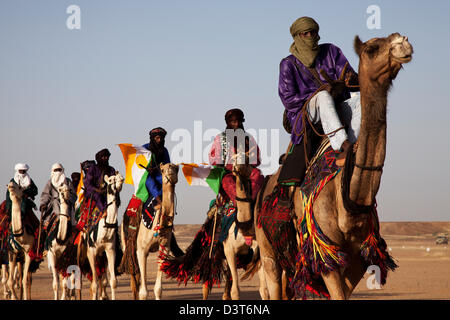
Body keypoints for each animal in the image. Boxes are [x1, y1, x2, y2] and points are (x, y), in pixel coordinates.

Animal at [85, 172, 123, 300]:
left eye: (119, 176)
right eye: (111, 179)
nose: (121, 179)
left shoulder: (110, 250)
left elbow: (113, 282)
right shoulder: (91, 252)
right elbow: (94, 284)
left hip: (102, 258)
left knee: (103, 279)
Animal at [137, 162, 179, 300]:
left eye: (176, 168)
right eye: (162, 170)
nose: (169, 170)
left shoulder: (164, 247)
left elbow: (158, 289)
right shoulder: (142, 249)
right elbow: (143, 293)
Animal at [255, 33, 414, 300]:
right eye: (372, 48)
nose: (403, 43)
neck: (348, 198)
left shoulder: (359, 258)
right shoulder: (324, 253)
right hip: (268, 251)